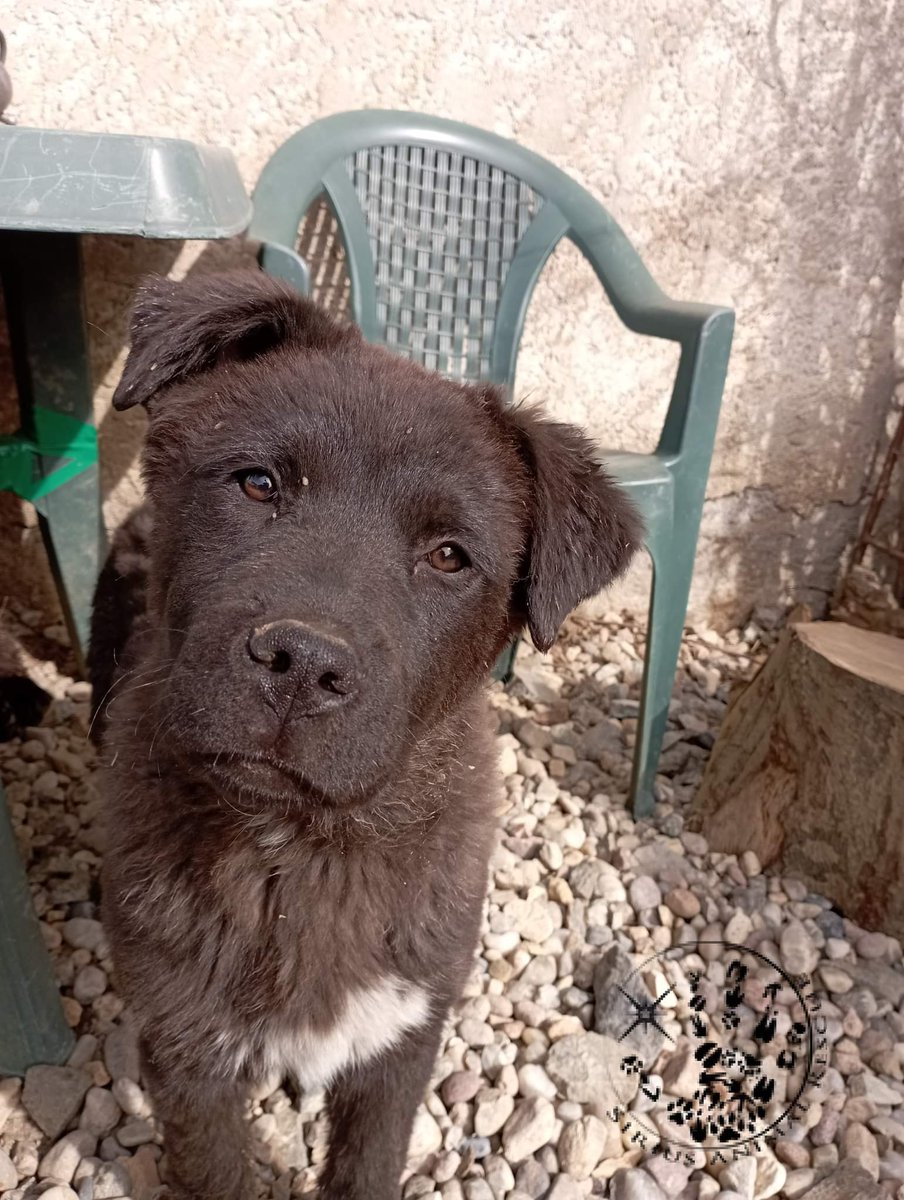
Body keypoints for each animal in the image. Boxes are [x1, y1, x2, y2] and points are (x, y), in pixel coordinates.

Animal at [91, 272, 638, 1200]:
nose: (303, 662)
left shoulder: (403, 1033)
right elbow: (216, 1172)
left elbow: (368, 1164)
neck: (301, 851)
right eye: (258, 483)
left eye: (450, 556)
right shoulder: (186, 1047)